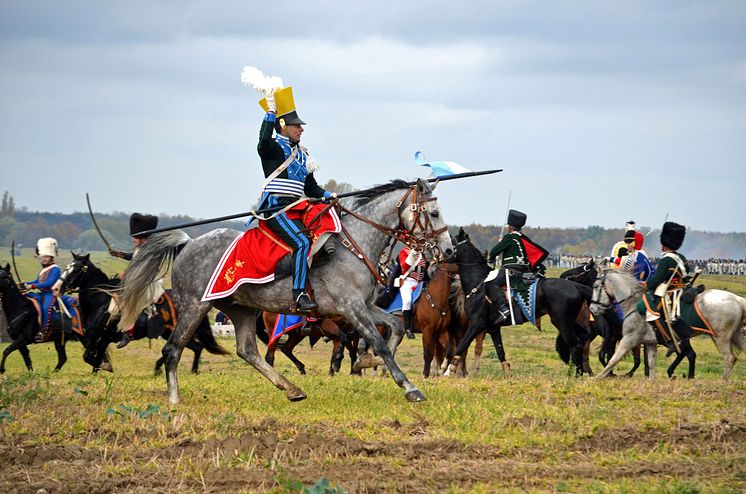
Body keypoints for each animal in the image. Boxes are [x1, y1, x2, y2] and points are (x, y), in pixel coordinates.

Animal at [59, 255, 228, 374]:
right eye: (68, 267)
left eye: (77, 269)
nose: (60, 287)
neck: (101, 302)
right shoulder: (100, 338)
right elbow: (94, 355)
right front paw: (99, 369)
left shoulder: (102, 336)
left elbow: (89, 357)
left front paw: (104, 367)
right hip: (168, 332)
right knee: (194, 347)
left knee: (194, 347)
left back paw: (187, 369)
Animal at [117, 179, 454, 404]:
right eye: (435, 213)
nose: (448, 250)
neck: (354, 243)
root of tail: (188, 243)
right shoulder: (351, 307)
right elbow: (380, 343)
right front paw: (408, 386)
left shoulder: (363, 306)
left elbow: (394, 327)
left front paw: (365, 363)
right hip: (194, 307)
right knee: (173, 349)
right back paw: (174, 400)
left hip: (241, 309)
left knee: (248, 351)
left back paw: (292, 389)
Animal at [442, 230, 592, 376]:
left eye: (451, 244)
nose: (439, 259)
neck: (478, 284)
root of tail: (575, 286)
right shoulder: (493, 328)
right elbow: (500, 352)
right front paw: (508, 375)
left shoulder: (477, 324)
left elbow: (462, 345)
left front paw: (448, 371)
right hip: (571, 322)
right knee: (582, 341)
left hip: (562, 323)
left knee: (575, 345)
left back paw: (575, 376)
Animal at [588, 270, 744, 378]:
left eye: (595, 286)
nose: (592, 309)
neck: (633, 303)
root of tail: (738, 300)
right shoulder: (650, 342)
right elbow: (651, 365)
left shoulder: (629, 339)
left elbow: (614, 360)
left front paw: (598, 378)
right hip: (735, 336)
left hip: (720, 338)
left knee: (729, 358)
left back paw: (722, 382)